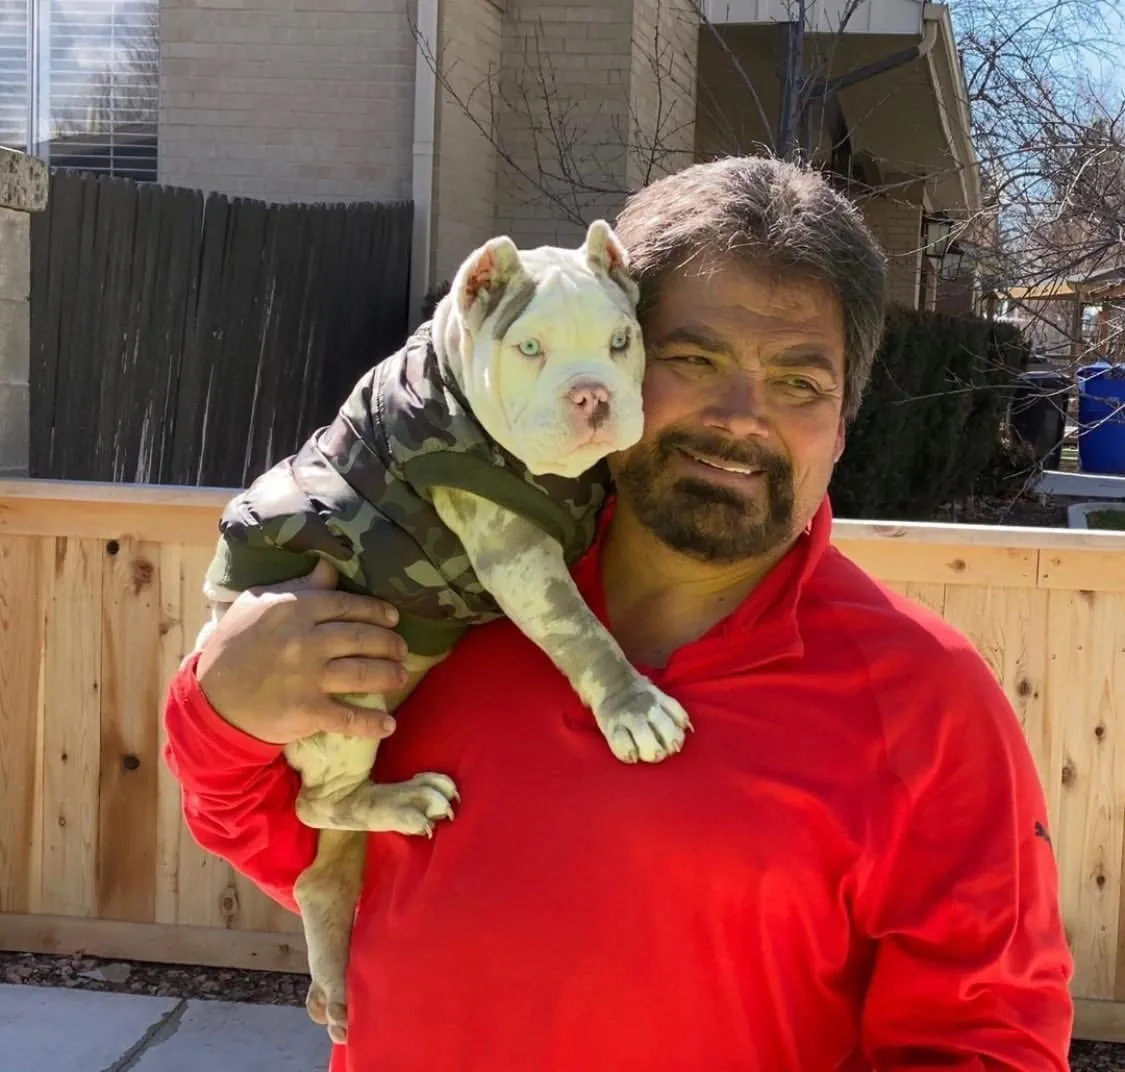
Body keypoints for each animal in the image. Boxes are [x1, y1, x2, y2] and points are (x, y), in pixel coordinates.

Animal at [196, 221, 688, 1039]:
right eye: (530, 348)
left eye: (622, 341)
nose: (592, 394)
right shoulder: (512, 545)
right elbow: (579, 628)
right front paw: (635, 708)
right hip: (345, 706)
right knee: (313, 803)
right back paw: (406, 800)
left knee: (321, 868)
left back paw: (335, 980)